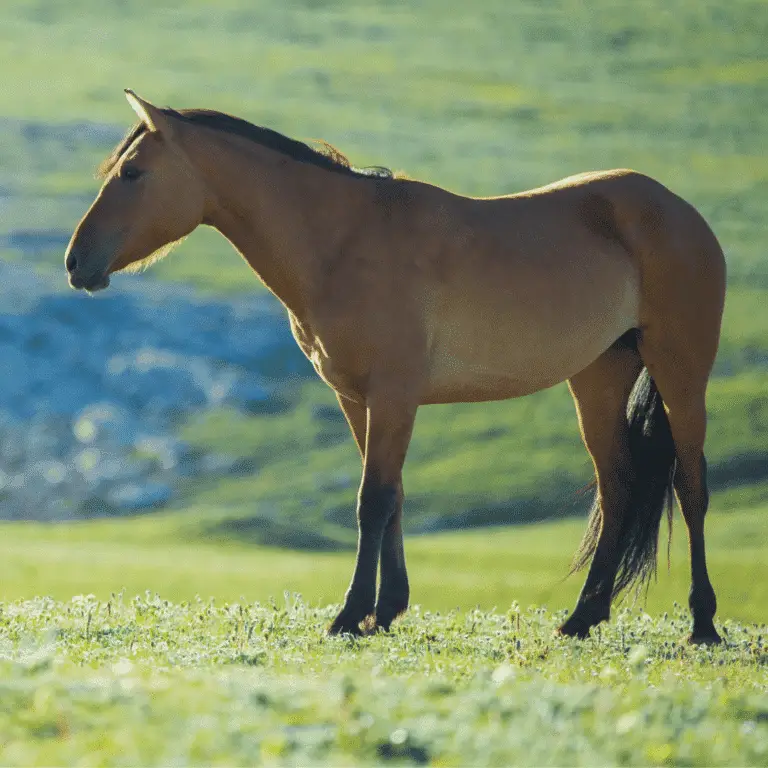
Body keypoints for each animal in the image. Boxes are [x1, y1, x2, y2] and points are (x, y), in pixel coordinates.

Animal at [66, 88, 728, 640]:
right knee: (617, 485)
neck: (342, 244)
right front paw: (386, 610)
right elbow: (392, 497)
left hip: (681, 370)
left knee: (690, 484)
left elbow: (373, 500)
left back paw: (702, 624)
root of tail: (682, 211)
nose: (75, 262)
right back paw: (582, 618)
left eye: (132, 172)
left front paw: (352, 613)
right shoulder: (356, 398)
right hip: (597, 377)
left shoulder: (392, 396)